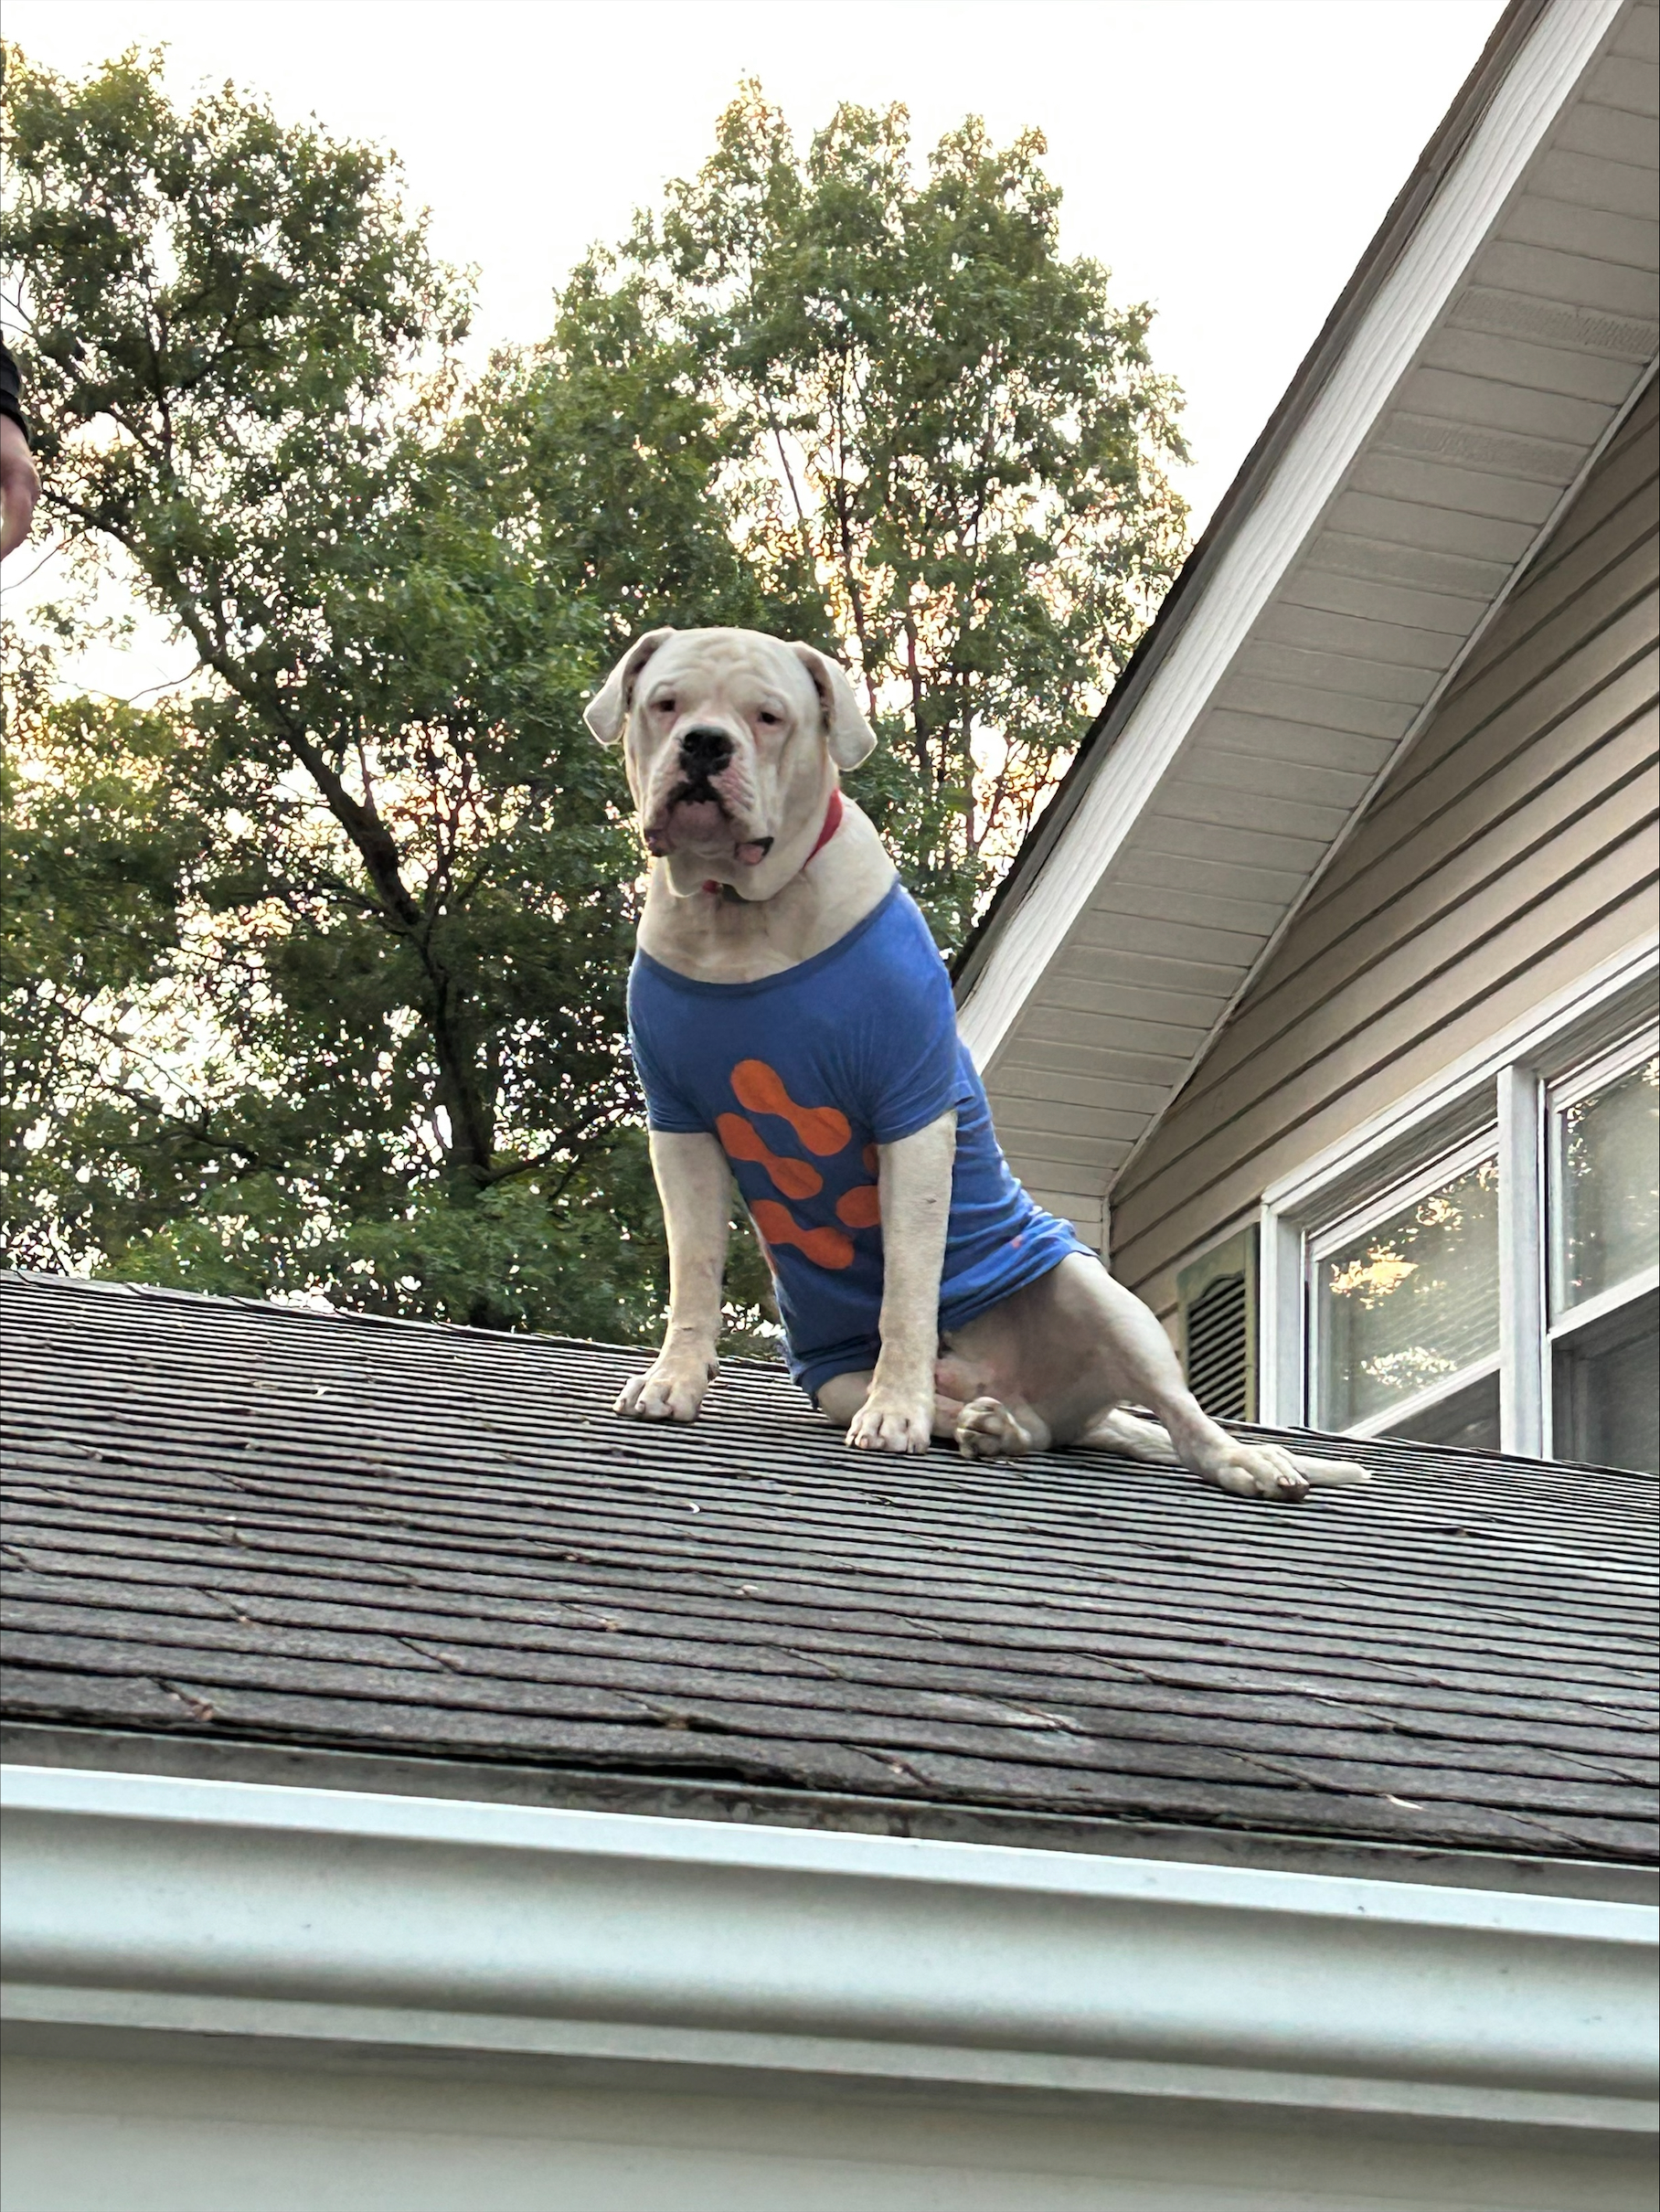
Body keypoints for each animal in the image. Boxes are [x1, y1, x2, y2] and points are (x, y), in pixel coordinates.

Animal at [592, 623, 1372, 1504]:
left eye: (767, 717)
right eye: (666, 705)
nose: (705, 746)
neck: (743, 919)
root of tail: (1064, 1404)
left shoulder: (910, 1109)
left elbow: (907, 1284)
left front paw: (893, 1414)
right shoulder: (680, 1125)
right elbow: (694, 1267)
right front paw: (674, 1381)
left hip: (1098, 1297)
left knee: (1180, 1412)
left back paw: (1245, 1459)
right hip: (839, 1379)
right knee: (1021, 1425)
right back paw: (993, 1427)